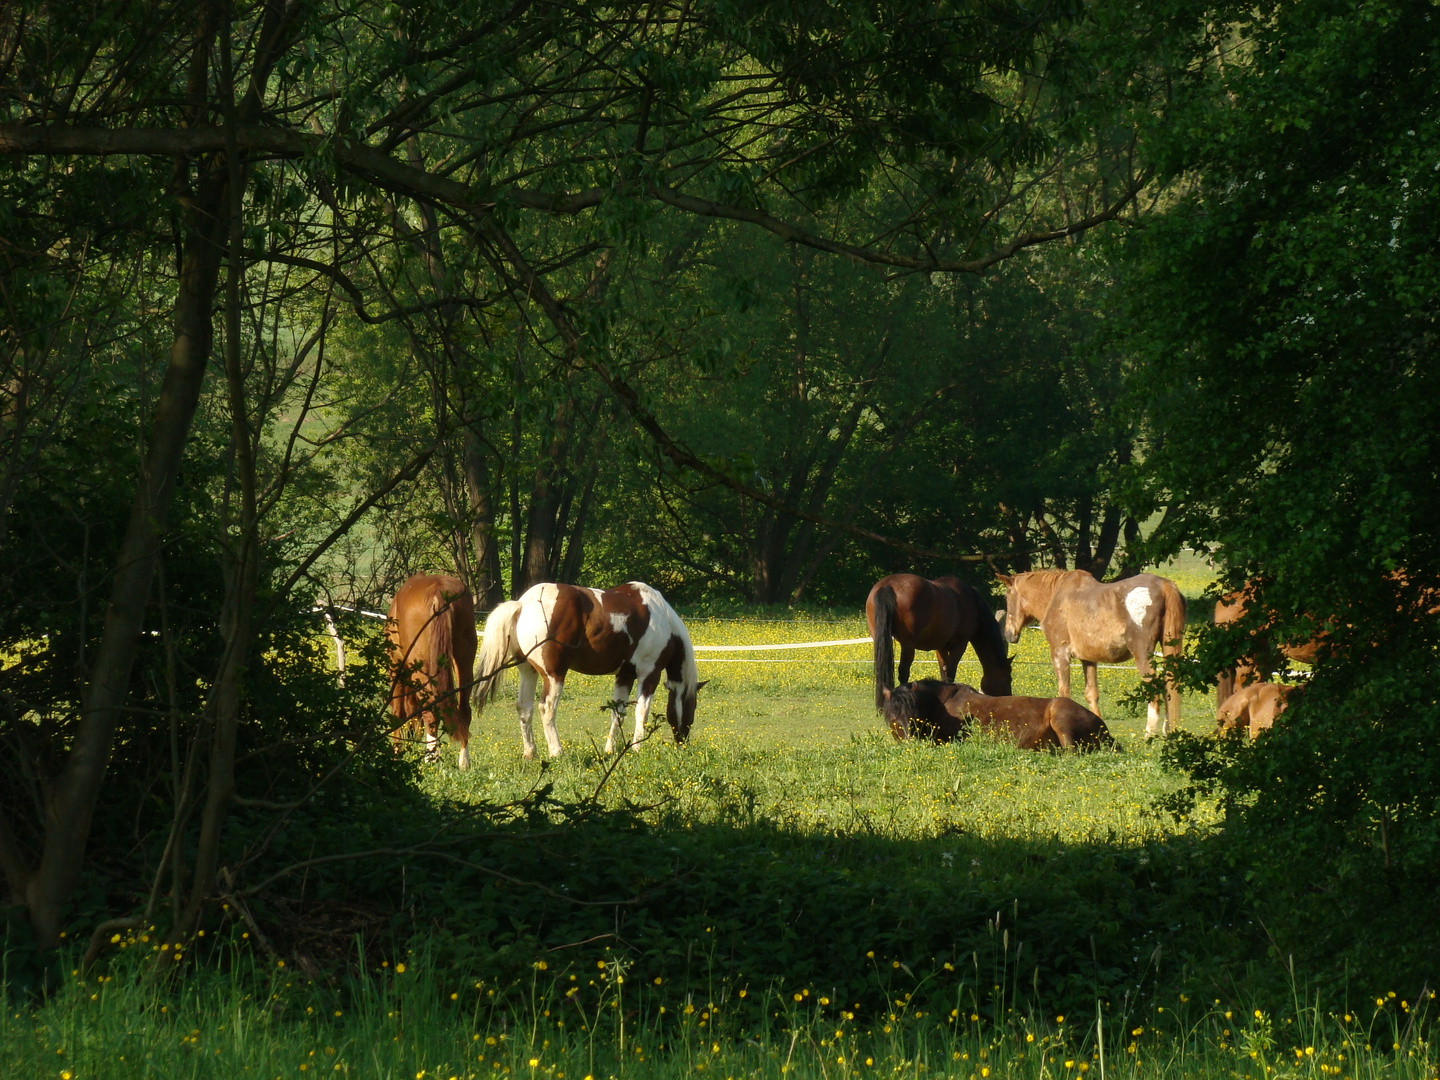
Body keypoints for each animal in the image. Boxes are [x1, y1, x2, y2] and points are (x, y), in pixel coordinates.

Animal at [383, 576, 478, 771]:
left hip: (421, 668)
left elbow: (397, 713)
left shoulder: (396, 668)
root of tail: (439, 589)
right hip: (464, 659)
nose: (412, 737)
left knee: (431, 713)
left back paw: (431, 759)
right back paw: (464, 762)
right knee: (464, 710)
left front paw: (396, 754)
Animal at [472, 584, 702, 760]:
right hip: (554, 675)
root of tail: (522, 604)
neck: (663, 618)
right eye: (693, 706)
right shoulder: (649, 673)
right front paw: (637, 748)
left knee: (524, 707)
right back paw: (557, 752)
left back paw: (530, 753)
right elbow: (642, 711)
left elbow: (618, 713)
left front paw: (610, 750)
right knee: (547, 708)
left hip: (528, 671)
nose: (683, 742)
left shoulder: (624, 676)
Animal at [864, 570, 1013, 714]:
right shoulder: (960, 644)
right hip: (908, 645)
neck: (972, 603)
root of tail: (888, 585)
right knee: (904, 671)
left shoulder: (941, 647)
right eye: (1008, 678)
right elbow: (950, 673)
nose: (1008, 697)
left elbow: (943, 671)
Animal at [996, 570, 1186, 743]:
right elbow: (1091, 694)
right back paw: (1167, 732)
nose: (1008, 634)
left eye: (1007, 597)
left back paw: (1149, 734)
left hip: (1142, 654)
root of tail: (1163, 584)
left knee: (1155, 688)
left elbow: (1064, 692)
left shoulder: (1060, 655)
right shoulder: (1088, 659)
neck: (1056, 597)